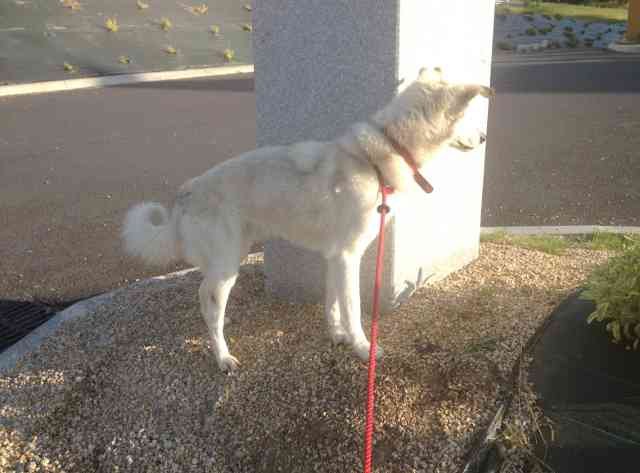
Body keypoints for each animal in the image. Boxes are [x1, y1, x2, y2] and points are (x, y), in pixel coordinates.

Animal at [121, 69, 490, 372]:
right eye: (469, 116)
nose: (485, 137)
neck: (379, 155)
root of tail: (186, 193)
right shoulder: (349, 257)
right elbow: (353, 307)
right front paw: (362, 348)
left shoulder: (335, 257)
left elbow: (333, 303)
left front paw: (337, 335)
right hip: (226, 268)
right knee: (209, 305)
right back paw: (223, 357)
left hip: (230, 258)